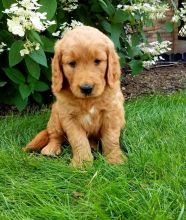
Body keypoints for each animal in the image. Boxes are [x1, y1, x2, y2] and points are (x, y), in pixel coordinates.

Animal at [24, 25, 127, 167]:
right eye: (72, 63)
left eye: (97, 61)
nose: (86, 88)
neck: (88, 101)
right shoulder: (69, 117)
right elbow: (79, 140)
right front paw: (82, 163)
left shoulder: (112, 113)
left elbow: (111, 138)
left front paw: (114, 159)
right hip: (56, 115)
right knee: (54, 135)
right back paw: (51, 149)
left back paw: (93, 145)